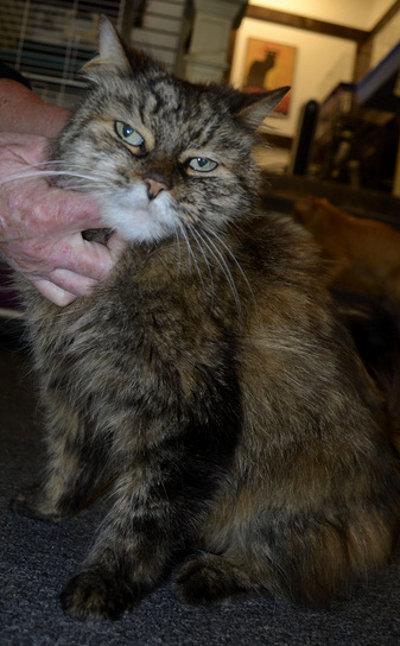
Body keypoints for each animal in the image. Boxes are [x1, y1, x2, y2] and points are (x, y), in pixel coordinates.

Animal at [12, 16, 400, 624]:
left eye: (199, 162)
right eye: (130, 135)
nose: (155, 184)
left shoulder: (191, 417)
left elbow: (143, 515)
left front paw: (104, 584)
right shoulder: (68, 380)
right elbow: (68, 459)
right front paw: (48, 506)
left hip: (298, 502)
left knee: (299, 567)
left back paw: (212, 571)